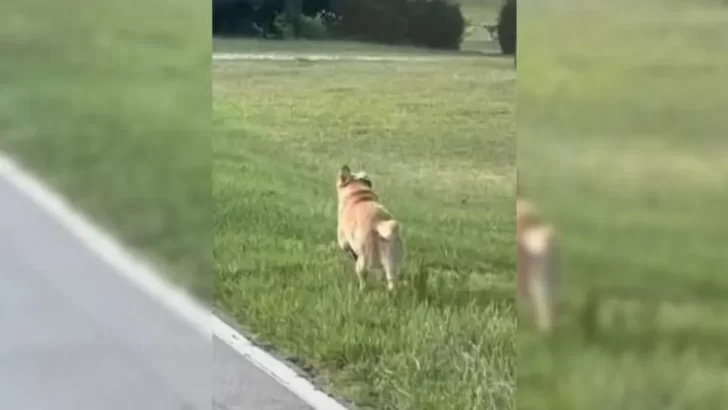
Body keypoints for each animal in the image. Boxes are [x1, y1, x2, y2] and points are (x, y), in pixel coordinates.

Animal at [336, 164, 404, 292]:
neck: (357, 191)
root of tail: (379, 223)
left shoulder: (343, 240)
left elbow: (348, 249)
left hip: (364, 262)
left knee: (364, 277)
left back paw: (362, 290)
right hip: (391, 261)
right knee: (390, 279)